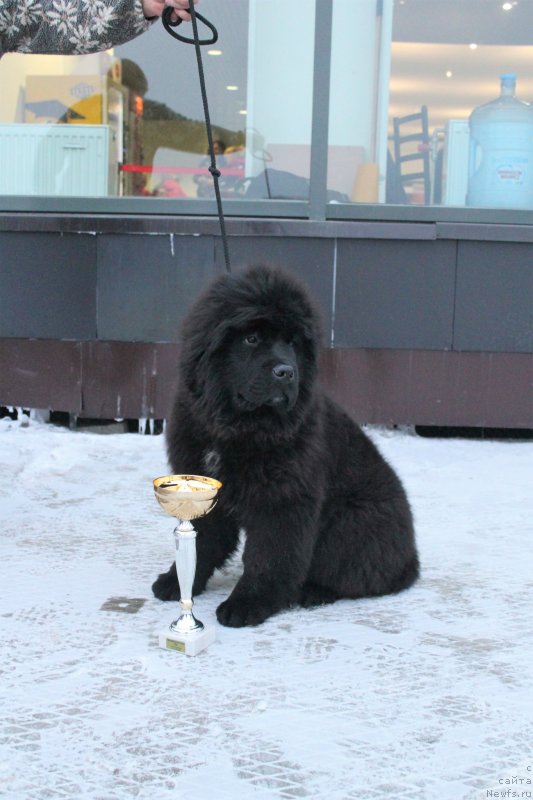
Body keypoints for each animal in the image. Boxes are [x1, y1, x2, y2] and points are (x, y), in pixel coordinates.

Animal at [152, 266, 418, 628]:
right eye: (251, 339)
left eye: (292, 343)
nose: (286, 372)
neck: (237, 426)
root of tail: (412, 561)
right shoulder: (201, 487)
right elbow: (204, 541)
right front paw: (176, 581)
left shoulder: (283, 500)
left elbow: (270, 556)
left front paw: (248, 603)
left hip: (353, 520)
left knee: (355, 574)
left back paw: (312, 592)